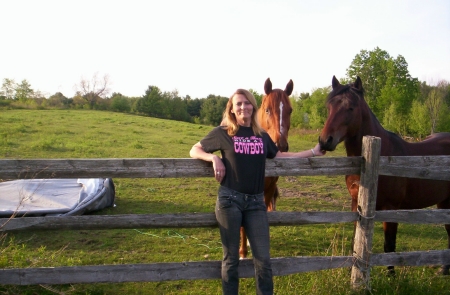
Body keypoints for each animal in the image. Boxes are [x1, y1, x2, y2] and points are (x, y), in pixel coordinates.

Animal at [318, 75, 450, 276]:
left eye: (351, 107)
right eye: (329, 106)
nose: (325, 140)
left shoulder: (391, 208)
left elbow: (389, 246)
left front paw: (391, 276)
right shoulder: (356, 204)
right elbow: (356, 242)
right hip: (445, 202)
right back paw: (444, 269)